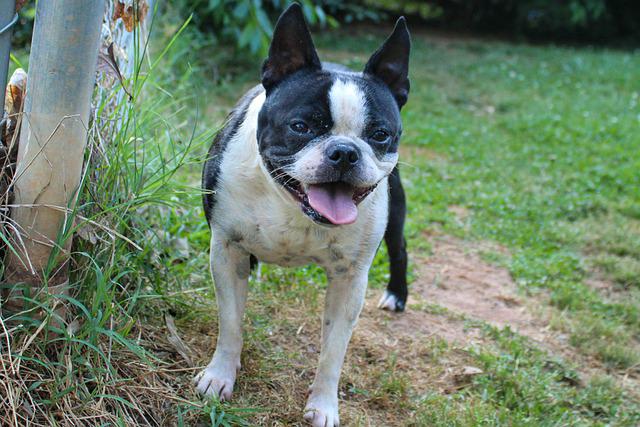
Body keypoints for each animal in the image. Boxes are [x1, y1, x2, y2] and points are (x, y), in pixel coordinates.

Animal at [195, 5, 412, 426]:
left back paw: (397, 294)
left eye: (379, 134)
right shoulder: (226, 250)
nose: (345, 152)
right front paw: (220, 376)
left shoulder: (349, 281)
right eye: (301, 126)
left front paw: (324, 405)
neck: (291, 205)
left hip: (394, 218)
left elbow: (333, 353)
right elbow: (230, 323)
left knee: (400, 250)